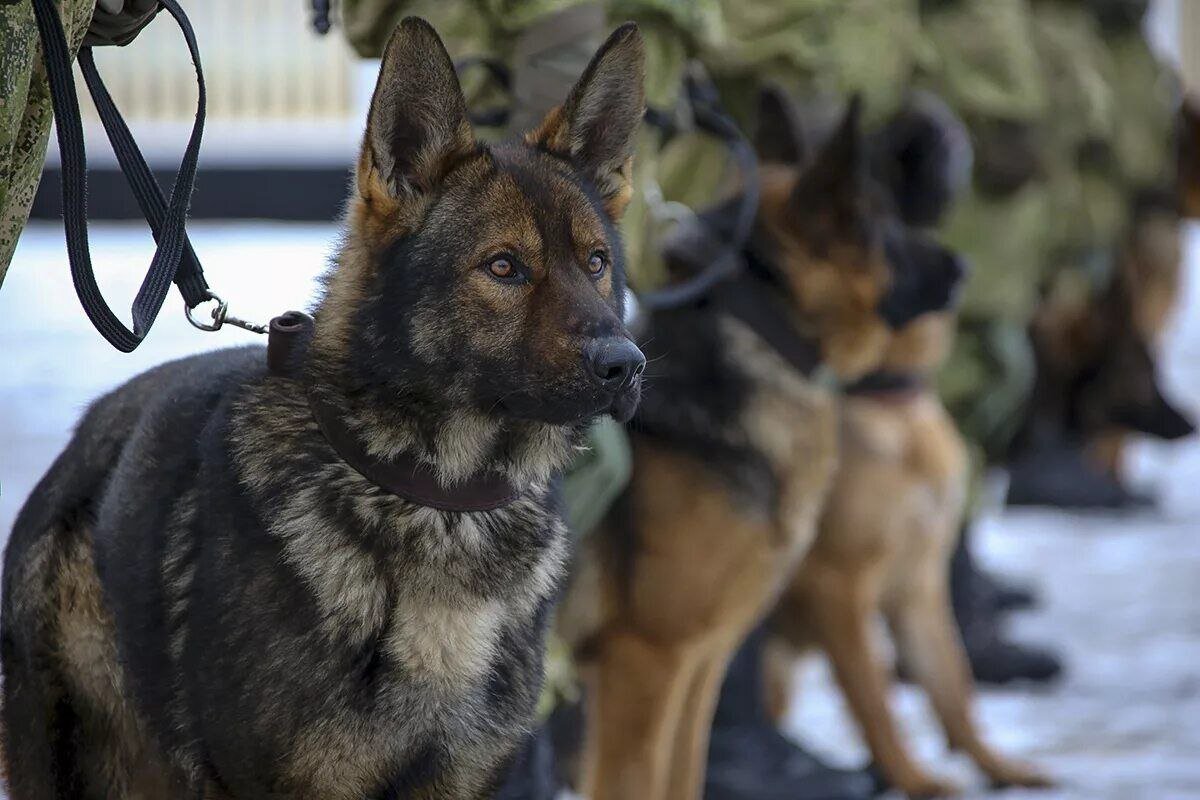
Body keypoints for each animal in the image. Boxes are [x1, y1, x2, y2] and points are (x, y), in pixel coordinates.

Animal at [763, 311, 1056, 796]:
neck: (891, 403)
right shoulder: (838, 587)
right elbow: (875, 699)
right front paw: (912, 779)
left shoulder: (918, 587)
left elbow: (953, 684)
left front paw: (997, 767)